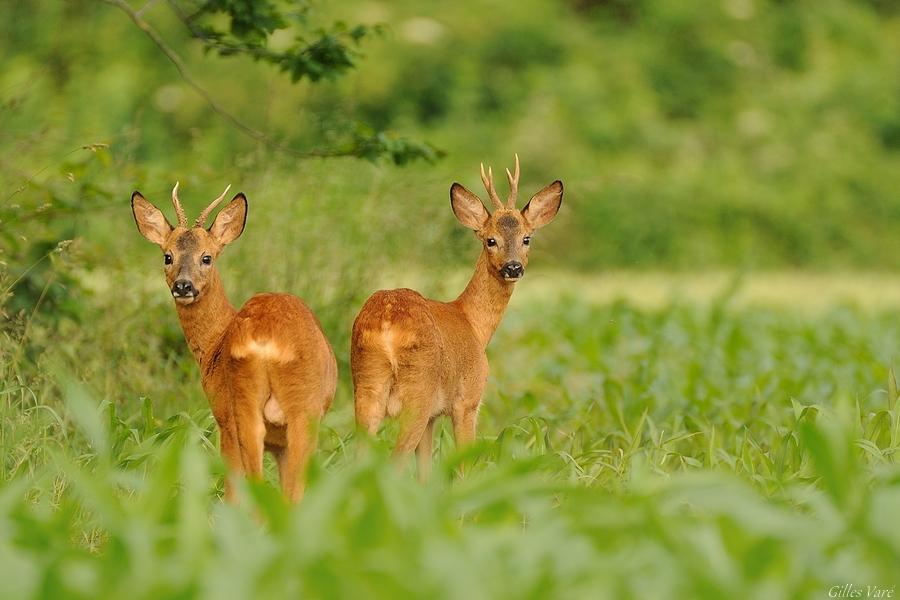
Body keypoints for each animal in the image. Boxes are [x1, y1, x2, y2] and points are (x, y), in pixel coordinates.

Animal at [134, 183, 342, 502]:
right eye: (167, 256)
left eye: (206, 257)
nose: (183, 286)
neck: (215, 343)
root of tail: (267, 339)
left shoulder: (223, 414)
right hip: (292, 409)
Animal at [352, 156, 564, 478]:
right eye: (491, 240)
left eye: (526, 238)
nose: (513, 267)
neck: (473, 324)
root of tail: (386, 323)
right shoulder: (468, 400)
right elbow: (464, 465)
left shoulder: (432, 416)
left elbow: (425, 472)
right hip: (417, 392)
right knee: (394, 463)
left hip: (366, 388)